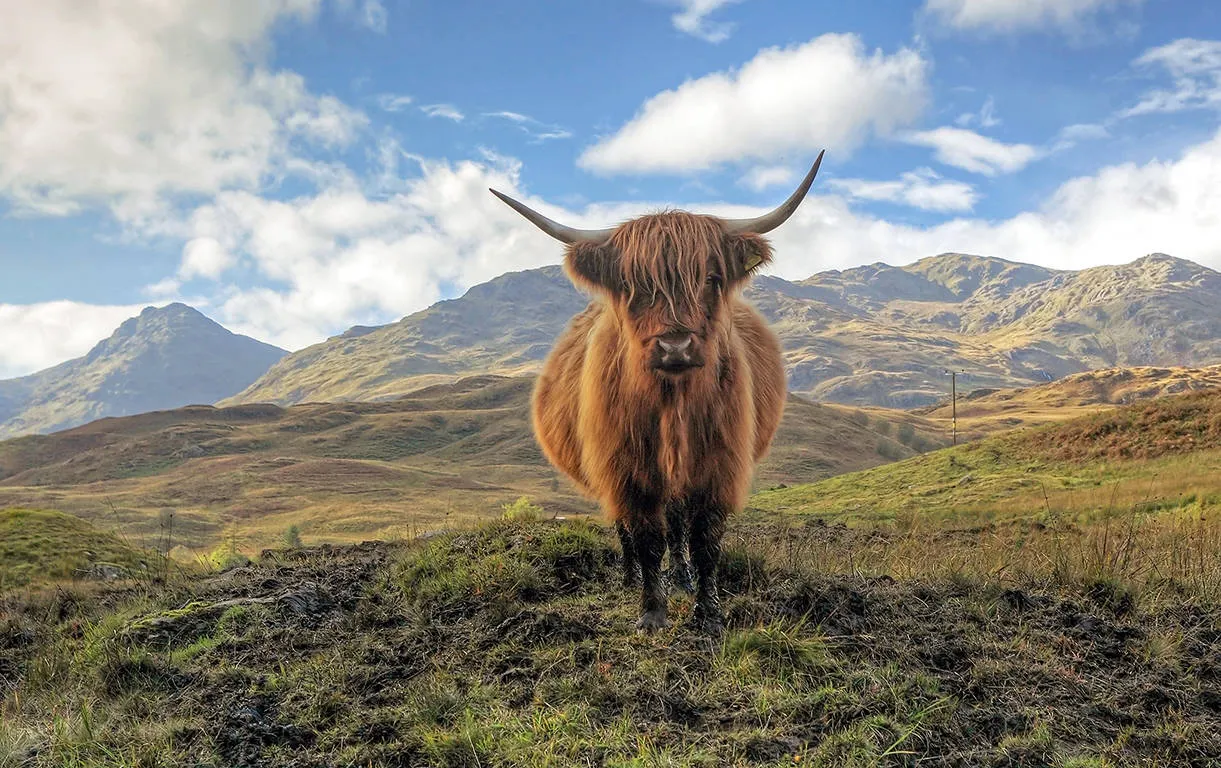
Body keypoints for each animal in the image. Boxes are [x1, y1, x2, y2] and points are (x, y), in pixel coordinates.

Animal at [490, 152, 825, 630]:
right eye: (632, 285)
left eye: (710, 278)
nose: (675, 345)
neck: (673, 404)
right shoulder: (624, 468)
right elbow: (646, 538)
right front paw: (651, 612)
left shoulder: (717, 467)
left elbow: (705, 541)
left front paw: (708, 614)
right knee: (629, 529)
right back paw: (631, 578)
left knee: (678, 523)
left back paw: (681, 578)